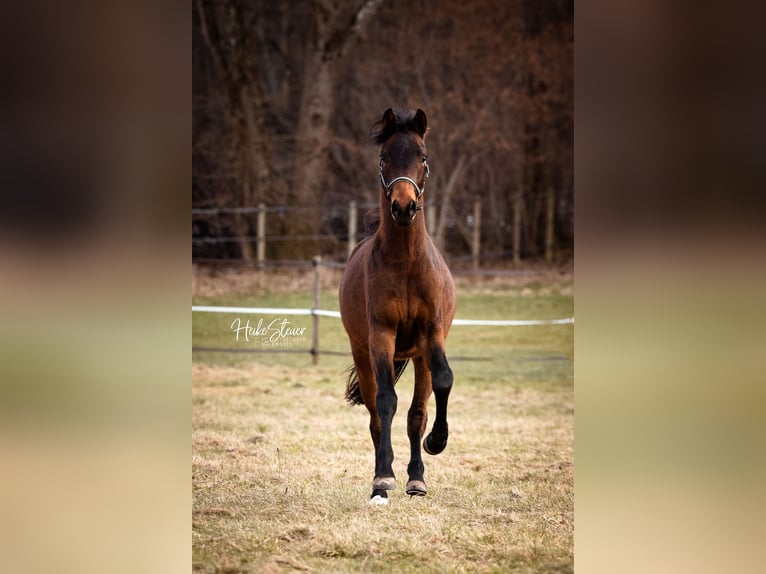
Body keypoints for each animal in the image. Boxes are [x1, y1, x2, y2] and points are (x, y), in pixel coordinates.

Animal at [338, 106, 456, 506]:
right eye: (384, 158)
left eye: (422, 157)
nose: (403, 207)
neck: (406, 263)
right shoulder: (381, 338)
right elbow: (386, 401)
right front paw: (383, 478)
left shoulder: (431, 336)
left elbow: (442, 383)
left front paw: (436, 442)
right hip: (363, 353)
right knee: (376, 413)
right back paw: (382, 480)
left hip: (418, 355)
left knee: (416, 412)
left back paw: (416, 478)